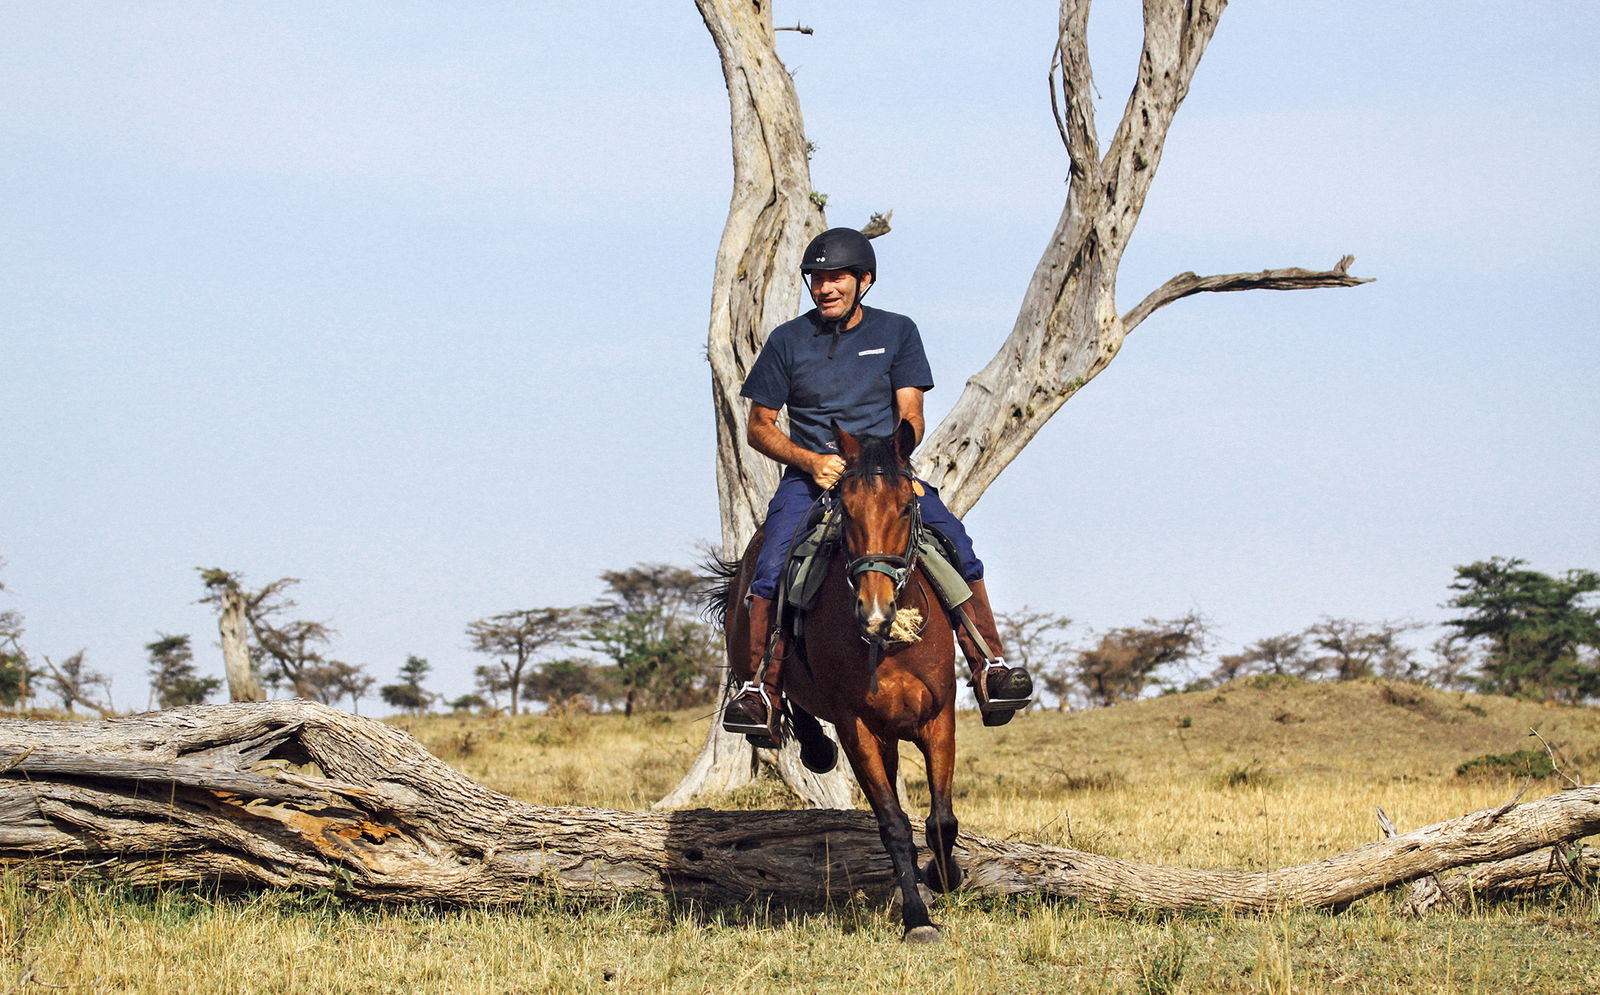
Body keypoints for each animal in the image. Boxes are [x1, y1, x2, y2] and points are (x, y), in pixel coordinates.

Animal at [712, 420, 962, 943]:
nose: (874, 610)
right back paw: (804, 741)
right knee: (781, 696)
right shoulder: (856, 728)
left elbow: (940, 820)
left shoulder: (938, 718)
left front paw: (944, 877)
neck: (890, 644)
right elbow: (893, 824)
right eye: (846, 510)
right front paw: (917, 918)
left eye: (906, 506)